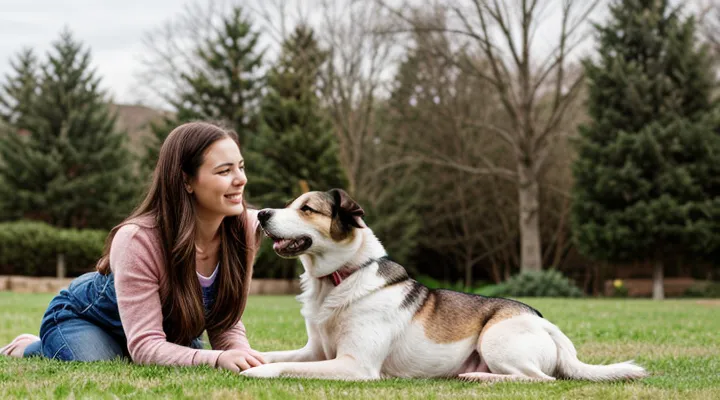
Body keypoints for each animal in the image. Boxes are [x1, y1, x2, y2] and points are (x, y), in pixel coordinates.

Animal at [240, 189, 648, 382]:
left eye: (307, 209)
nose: (261, 214)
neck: (343, 276)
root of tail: (545, 323)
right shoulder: (315, 352)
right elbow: (273, 355)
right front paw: (248, 360)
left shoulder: (354, 366)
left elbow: (279, 367)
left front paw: (255, 372)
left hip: (496, 339)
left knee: (539, 380)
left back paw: (478, 378)